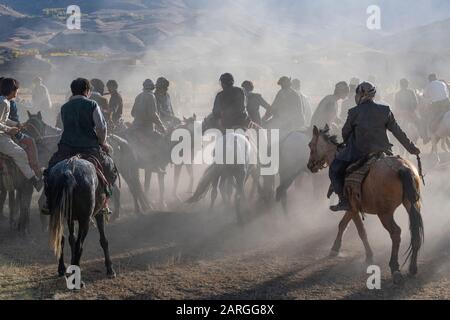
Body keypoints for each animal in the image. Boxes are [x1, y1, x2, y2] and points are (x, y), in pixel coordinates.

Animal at [308, 126, 424, 284]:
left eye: (310, 145)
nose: (310, 166)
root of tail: (403, 168)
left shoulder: (353, 207)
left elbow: (361, 231)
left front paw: (369, 256)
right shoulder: (351, 207)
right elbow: (342, 224)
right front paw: (335, 248)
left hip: (385, 213)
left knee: (396, 232)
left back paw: (395, 268)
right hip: (412, 205)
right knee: (415, 233)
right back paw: (412, 269)